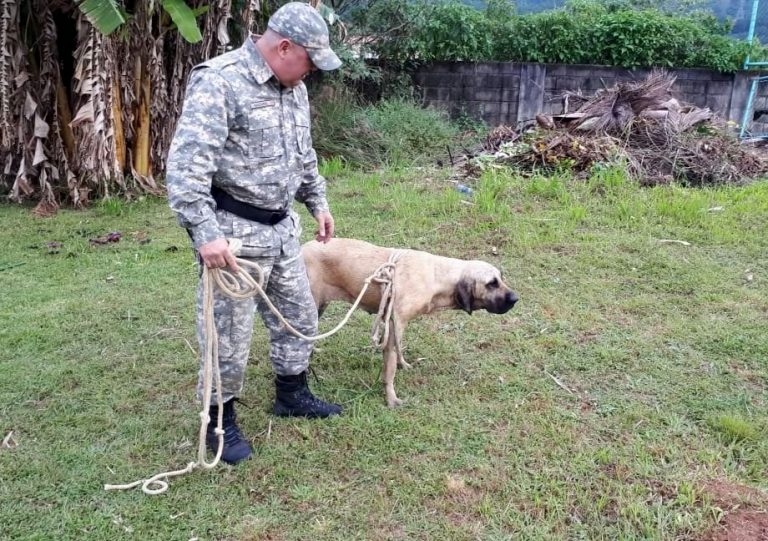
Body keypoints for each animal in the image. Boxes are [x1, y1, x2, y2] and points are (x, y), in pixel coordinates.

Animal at [304, 236, 520, 404]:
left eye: (501, 278)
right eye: (491, 283)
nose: (515, 298)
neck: (438, 277)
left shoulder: (397, 326)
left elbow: (399, 351)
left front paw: (403, 365)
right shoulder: (393, 326)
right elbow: (389, 369)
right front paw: (391, 398)